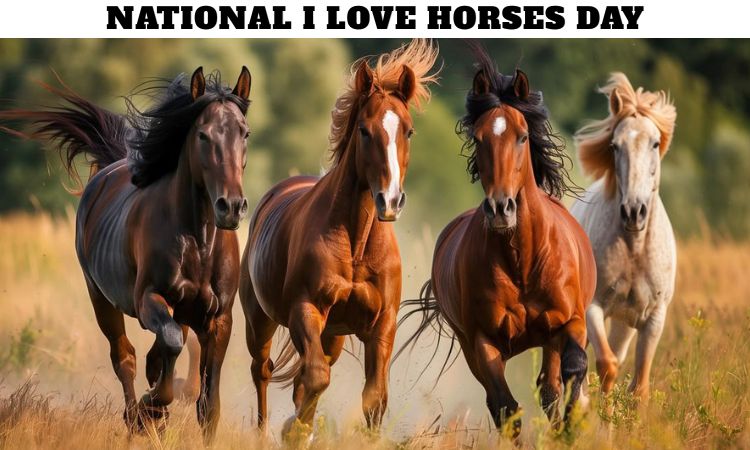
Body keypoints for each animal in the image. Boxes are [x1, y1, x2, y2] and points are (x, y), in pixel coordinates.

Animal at [0, 67, 252, 440]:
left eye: (244, 133)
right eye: (203, 135)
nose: (231, 207)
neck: (199, 241)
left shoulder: (219, 317)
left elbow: (208, 405)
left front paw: (163, 407)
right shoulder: (149, 299)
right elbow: (169, 345)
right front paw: (152, 407)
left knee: (156, 354)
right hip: (100, 299)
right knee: (126, 358)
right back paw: (138, 416)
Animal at [239, 39, 438, 431]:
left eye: (408, 131)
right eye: (364, 130)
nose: (391, 200)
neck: (356, 245)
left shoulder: (381, 325)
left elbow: (373, 398)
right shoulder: (306, 312)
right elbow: (315, 377)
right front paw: (294, 430)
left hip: (333, 335)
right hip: (260, 321)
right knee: (263, 372)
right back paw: (265, 431)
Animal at [398, 47, 596, 435]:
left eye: (522, 136)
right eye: (478, 138)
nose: (501, 208)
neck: (522, 259)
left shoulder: (570, 322)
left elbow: (572, 371)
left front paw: (571, 423)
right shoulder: (483, 342)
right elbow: (506, 407)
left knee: (550, 387)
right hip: (470, 347)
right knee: (506, 402)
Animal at [570, 73, 677, 399]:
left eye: (655, 143)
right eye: (615, 146)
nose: (633, 212)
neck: (635, 249)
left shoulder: (653, 318)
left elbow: (638, 387)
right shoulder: (592, 307)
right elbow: (607, 366)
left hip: (624, 324)